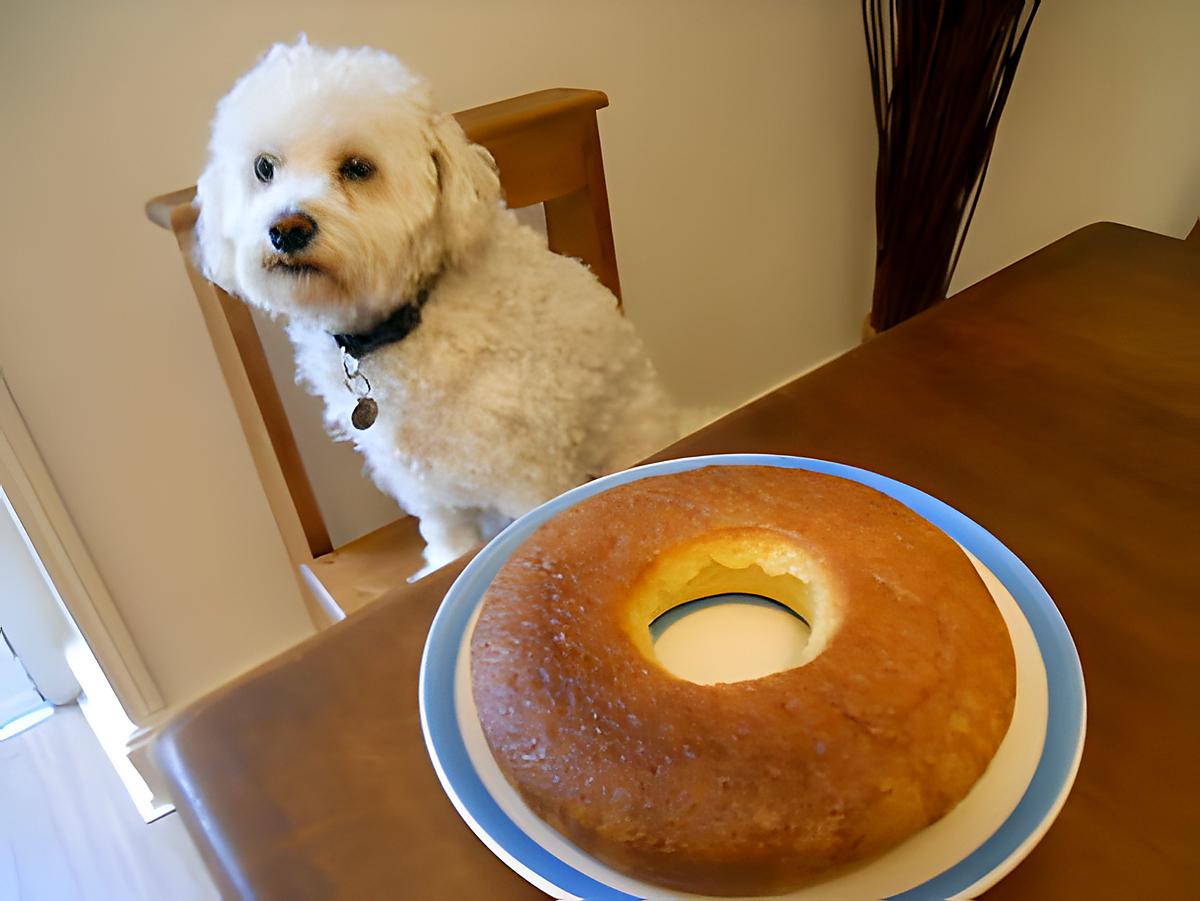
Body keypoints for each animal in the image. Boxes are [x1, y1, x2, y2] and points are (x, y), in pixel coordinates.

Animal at [198, 40, 686, 571]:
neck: (412, 320)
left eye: (358, 168)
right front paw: (444, 563)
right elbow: (448, 536)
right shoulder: (422, 482)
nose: (287, 230)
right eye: (264, 168)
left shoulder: (523, 471)